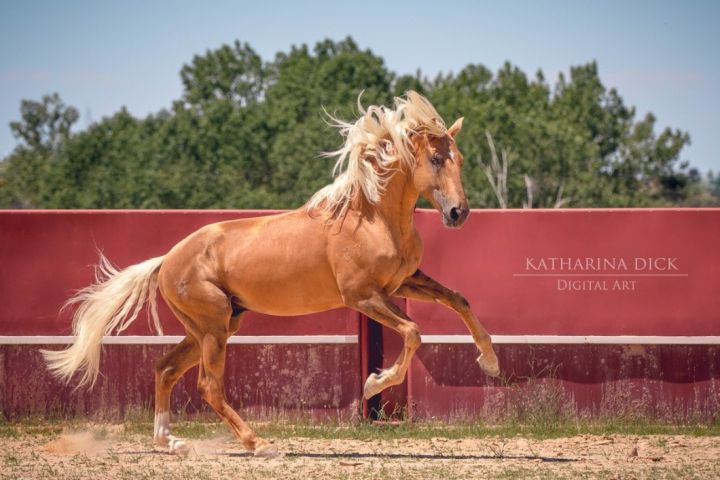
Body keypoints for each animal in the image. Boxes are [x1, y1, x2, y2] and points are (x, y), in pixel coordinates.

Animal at [42, 91, 498, 458]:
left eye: (459, 159)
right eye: (436, 159)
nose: (458, 213)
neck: (371, 217)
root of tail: (167, 259)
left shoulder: (402, 283)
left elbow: (458, 300)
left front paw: (490, 362)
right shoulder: (363, 296)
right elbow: (412, 333)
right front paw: (373, 384)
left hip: (214, 326)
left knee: (164, 369)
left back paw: (172, 442)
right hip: (212, 330)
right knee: (208, 386)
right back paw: (257, 443)